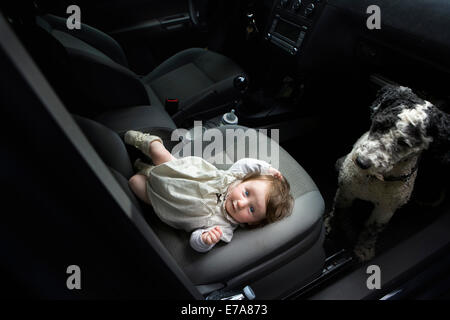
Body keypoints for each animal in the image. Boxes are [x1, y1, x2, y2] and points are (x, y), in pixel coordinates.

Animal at [326, 84, 448, 260]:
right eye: (379, 124)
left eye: (404, 143)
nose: (361, 162)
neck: (376, 179)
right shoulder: (347, 191)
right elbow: (339, 211)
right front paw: (332, 227)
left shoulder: (386, 209)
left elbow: (372, 230)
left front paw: (364, 249)